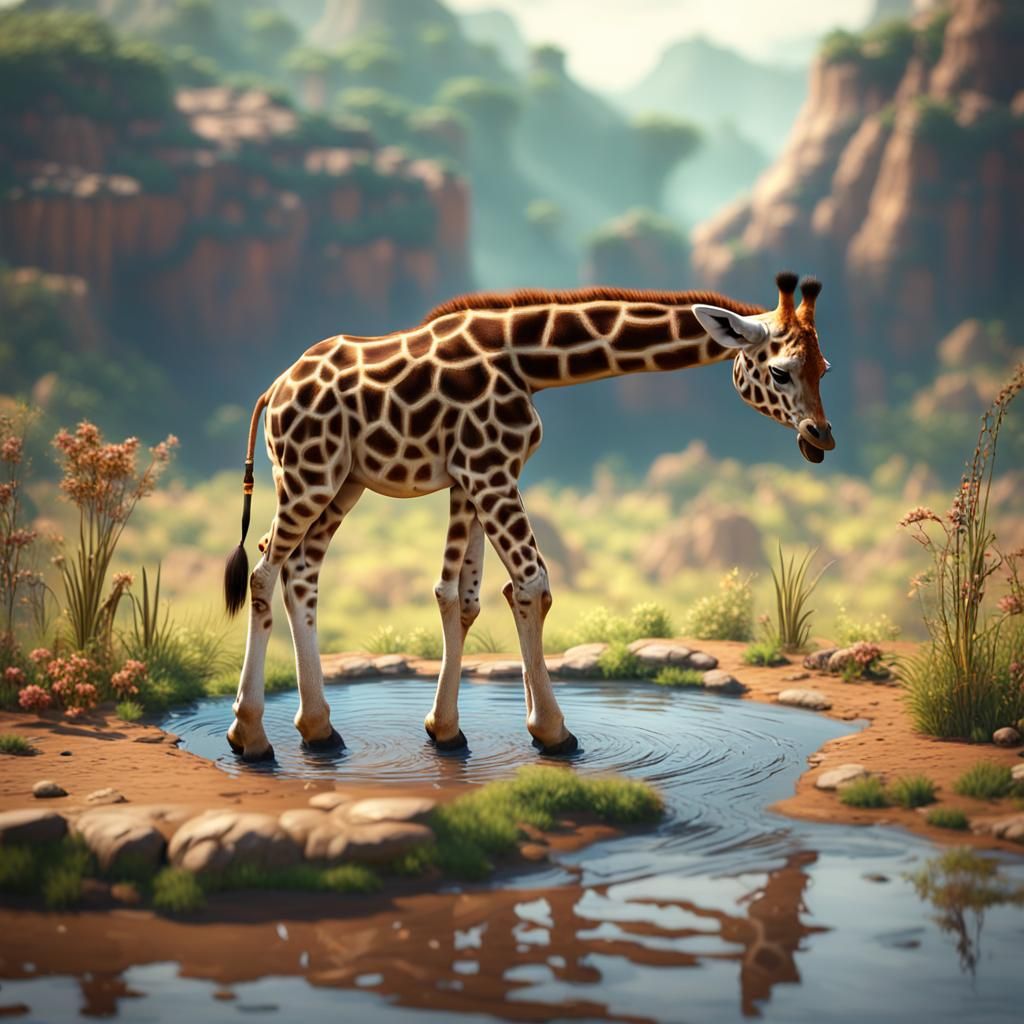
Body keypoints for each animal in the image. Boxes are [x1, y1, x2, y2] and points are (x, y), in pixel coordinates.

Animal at [223, 271, 834, 761]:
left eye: (824, 368)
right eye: (780, 372)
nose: (821, 438)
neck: (528, 359)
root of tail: (272, 392)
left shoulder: (470, 477)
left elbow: (459, 597)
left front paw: (445, 730)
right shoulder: (491, 469)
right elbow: (532, 584)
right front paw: (553, 732)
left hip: (343, 483)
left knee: (302, 572)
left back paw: (318, 730)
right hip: (309, 476)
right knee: (264, 570)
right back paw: (250, 736)